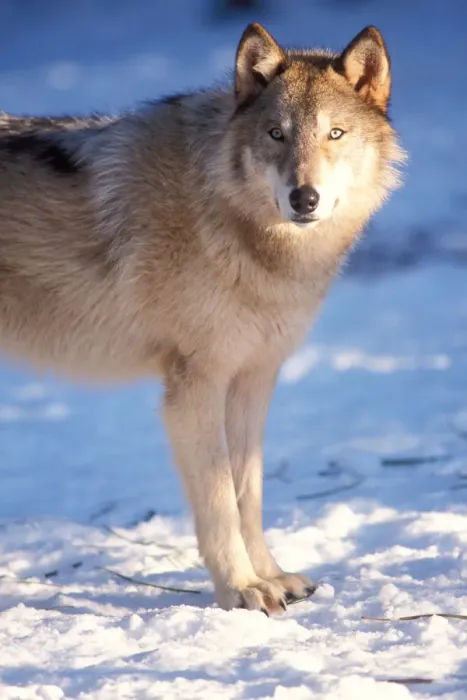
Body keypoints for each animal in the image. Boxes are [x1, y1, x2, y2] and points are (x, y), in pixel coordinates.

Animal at [0, 23, 403, 613]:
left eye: (335, 133)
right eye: (276, 134)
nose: (303, 198)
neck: (226, 218)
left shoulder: (253, 380)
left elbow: (247, 495)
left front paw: (271, 576)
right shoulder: (194, 389)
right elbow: (219, 502)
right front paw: (241, 590)